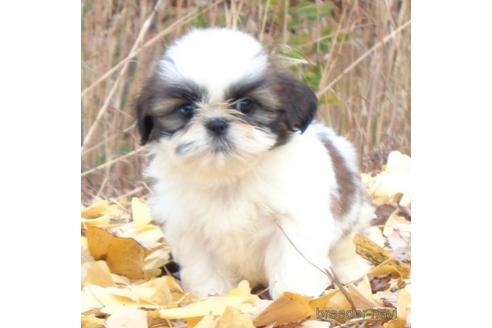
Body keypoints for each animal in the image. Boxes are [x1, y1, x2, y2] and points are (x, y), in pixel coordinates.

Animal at [135, 28, 372, 300]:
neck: (228, 177)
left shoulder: (294, 222)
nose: (217, 123)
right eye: (186, 109)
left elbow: (292, 262)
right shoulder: (189, 230)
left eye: (246, 105)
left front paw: (296, 297)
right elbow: (204, 268)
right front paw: (212, 298)